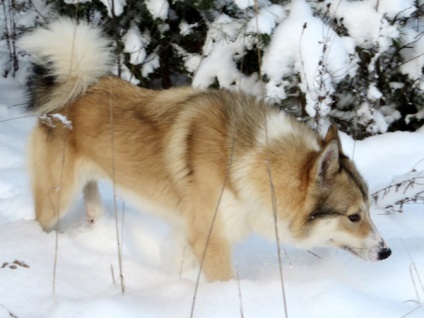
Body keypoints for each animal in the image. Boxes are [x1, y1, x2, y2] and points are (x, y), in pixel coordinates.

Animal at [19, 18, 390, 280]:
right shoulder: (210, 239)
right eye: (354, 216)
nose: (386, 253)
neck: (255, 162)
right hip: (55, 197)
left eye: (368, 211)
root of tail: (76, 82)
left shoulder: (192, 233)